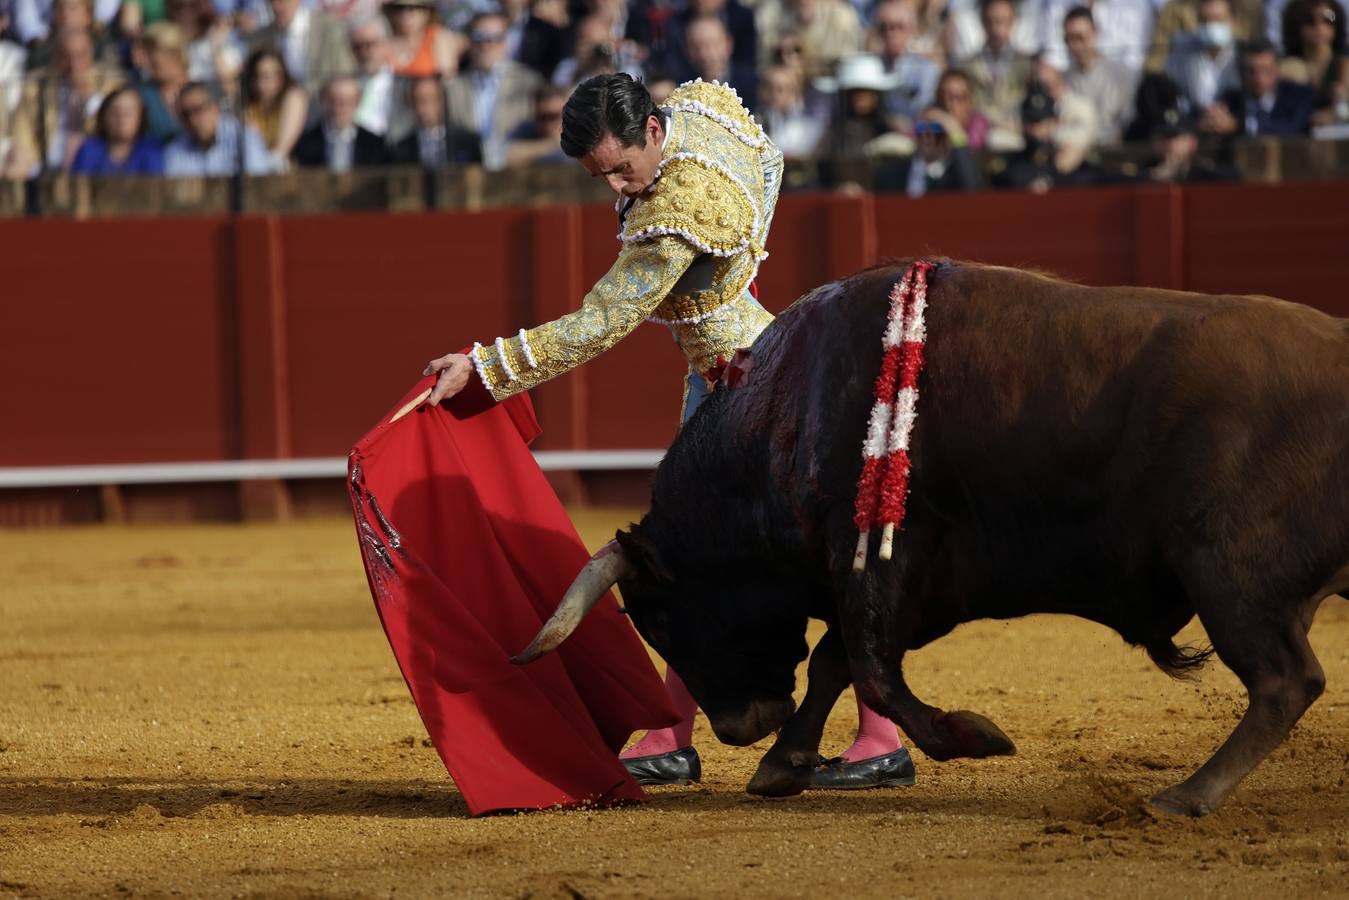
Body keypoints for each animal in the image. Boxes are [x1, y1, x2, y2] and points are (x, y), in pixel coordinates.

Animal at [509, 260, 1343, 814]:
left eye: (663, 620)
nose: (739, 726)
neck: (785, 408)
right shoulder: (900, 577)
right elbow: (836, 661)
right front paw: (783, 766)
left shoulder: (885, 560)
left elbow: (870, 669)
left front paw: (973, 735)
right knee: (1288, 681)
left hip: (1229, 575)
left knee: (1284, 681)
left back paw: (1183, 795)